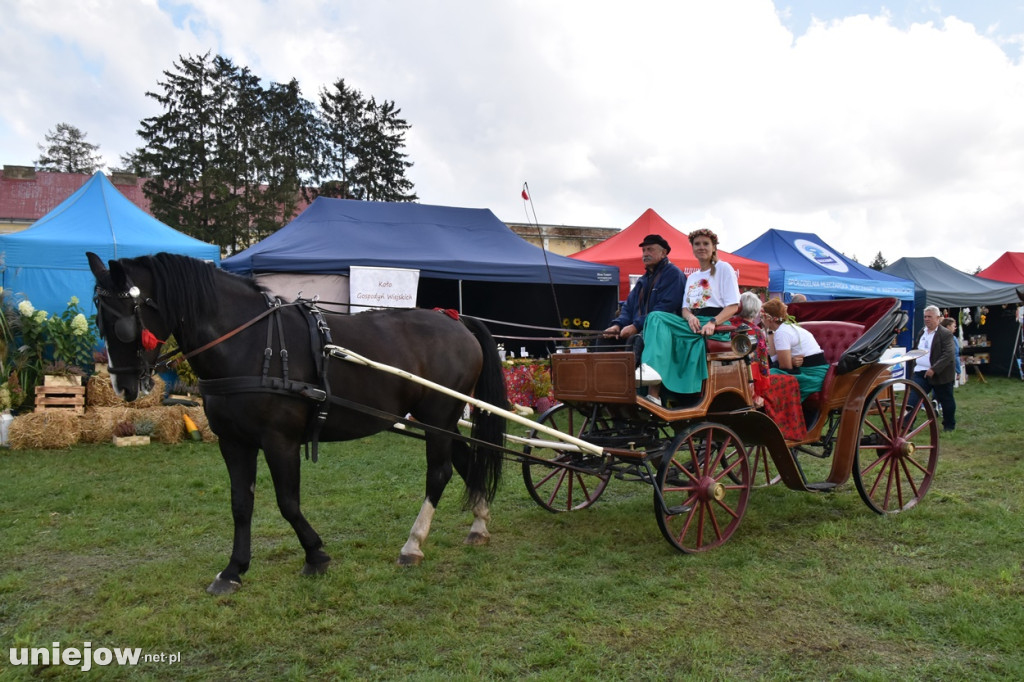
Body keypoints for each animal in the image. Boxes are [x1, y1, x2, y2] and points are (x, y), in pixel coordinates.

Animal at [88, 250, 507, 593]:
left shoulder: (280, 440)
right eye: (99, 319)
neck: (250, 343)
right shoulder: (233, 441)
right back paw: (479, 523)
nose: (122, 386)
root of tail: (455, 320)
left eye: (125, 322)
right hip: (443, 420)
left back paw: (413, 544)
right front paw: (233, 571)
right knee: (465, 461)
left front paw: (315, 555)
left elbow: (288, 502)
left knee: (439, 473)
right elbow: (241, 504)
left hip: (439, 414)